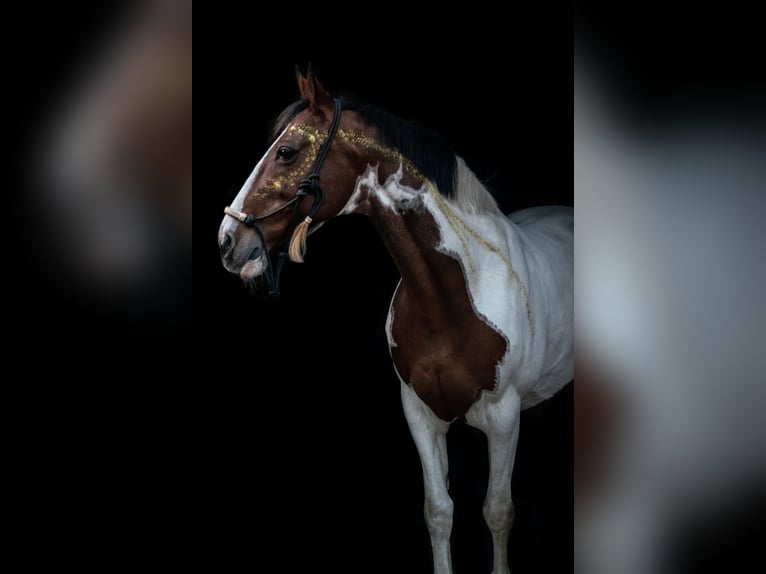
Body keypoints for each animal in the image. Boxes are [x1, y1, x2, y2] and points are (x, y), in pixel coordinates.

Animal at [218, 67, 573, 574]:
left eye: (287, 152)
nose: (228, 241)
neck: (450, 299)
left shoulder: (504, 417)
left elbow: (498, 510)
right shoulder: (419, 413)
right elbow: (439, 510)